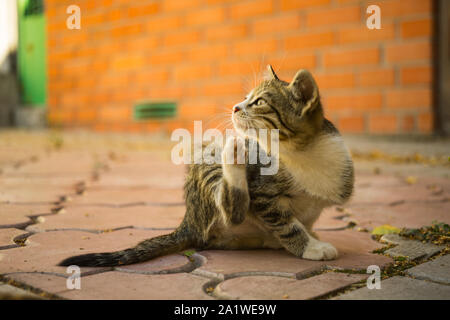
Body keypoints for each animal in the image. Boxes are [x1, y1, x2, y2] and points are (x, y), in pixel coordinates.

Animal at [59, 66, 354, 266]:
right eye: (246, 97)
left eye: (259, 102)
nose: (236, 107)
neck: (298, 151)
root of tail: (189, 221)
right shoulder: (262, 191)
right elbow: (285, 222)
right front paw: (309, 246)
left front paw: (309, 237)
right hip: (208, 159)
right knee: (231, 210)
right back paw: (233, 155)